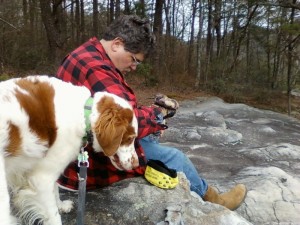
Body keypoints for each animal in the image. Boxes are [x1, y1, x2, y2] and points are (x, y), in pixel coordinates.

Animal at [0, 75, 138, 225]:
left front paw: (61, 205)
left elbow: (55, 190)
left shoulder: (48, 168)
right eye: (130, 138)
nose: (136, 164)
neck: (82, 114)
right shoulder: (41, 179)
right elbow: (53, 215)